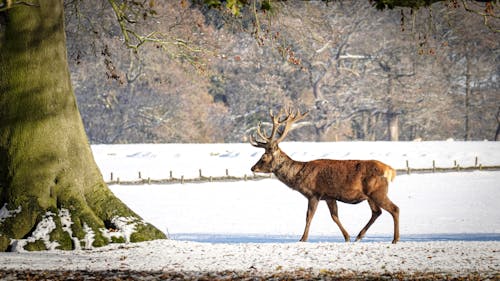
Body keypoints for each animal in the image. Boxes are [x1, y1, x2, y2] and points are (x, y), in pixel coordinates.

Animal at [252, 107, 400, 243]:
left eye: (264, 157)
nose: (253, 168)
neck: (300, 175)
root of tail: (389, 170)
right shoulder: (329, 196)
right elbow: (334, 216)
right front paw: (347, 237)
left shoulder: (314, 194)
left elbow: (309, 216)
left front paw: (303, 238)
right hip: (370, 196)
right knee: (377, 212)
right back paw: (359, 236)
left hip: (377, 192)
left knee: (394, 209)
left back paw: (395, 239)